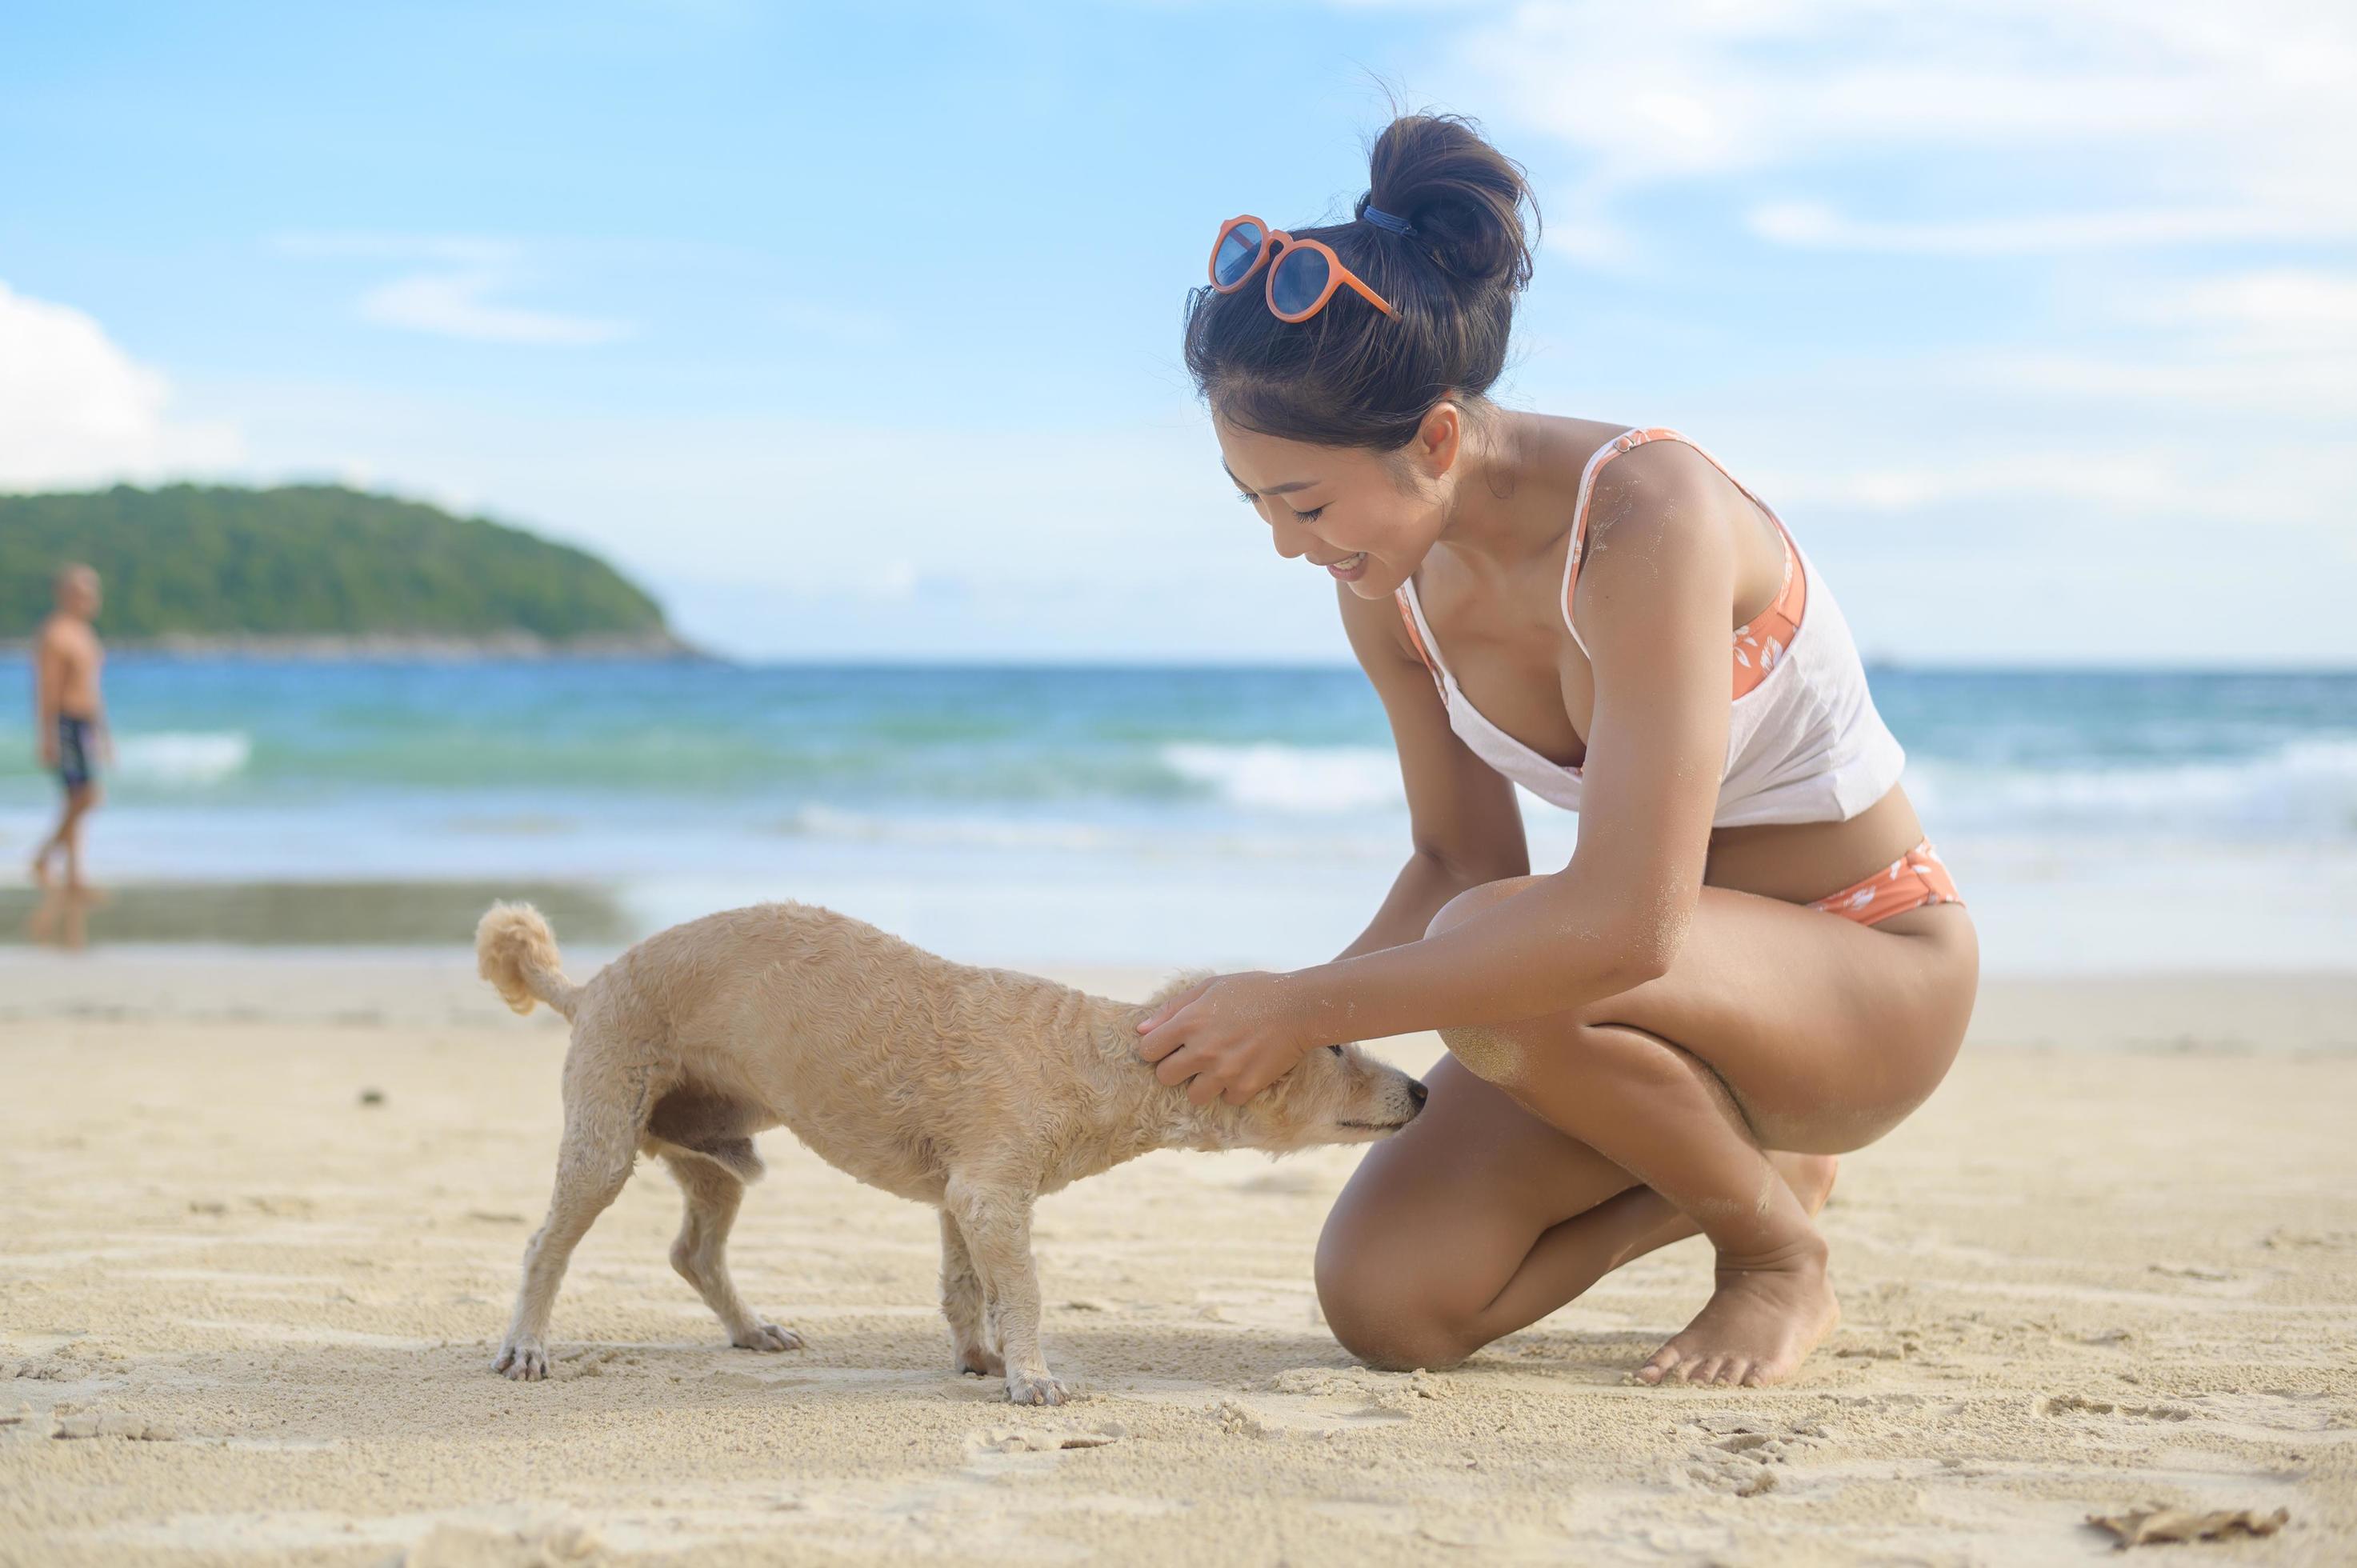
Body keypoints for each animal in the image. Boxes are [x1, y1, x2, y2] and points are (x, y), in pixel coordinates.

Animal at [471, 900, 1423, 1395]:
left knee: (693, 1252)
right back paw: (527, 1346)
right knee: (544, 1245)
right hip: (605, 1139)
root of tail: (585, 986)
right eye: (1339, 1043)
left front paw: (980, 1359)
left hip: (717, 1157)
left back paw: (751, 1330)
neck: (1093, 1055)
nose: (1420, 1091)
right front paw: (1032, 1377)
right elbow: (1023, 1291)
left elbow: (968, 1288)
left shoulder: (960, 1196)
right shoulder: (992, 1192)